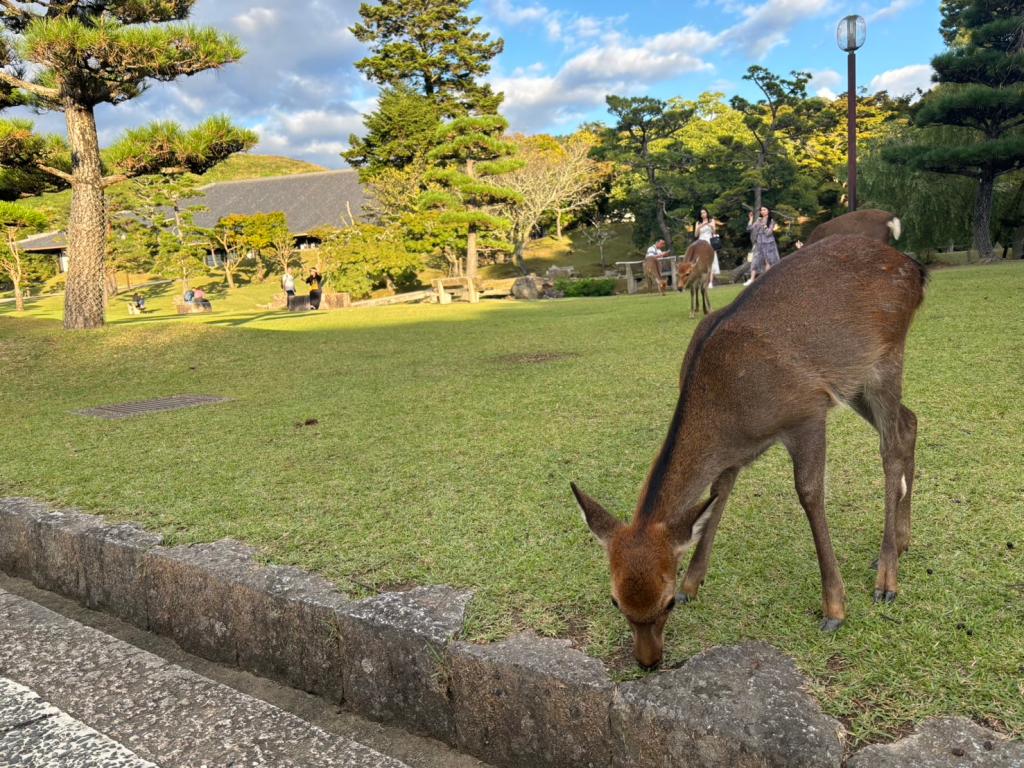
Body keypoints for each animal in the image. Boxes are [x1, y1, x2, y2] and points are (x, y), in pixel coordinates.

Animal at [573, 237, 933, 671]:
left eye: (667, 603)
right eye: (616, 602)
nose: (648, 661)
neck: (727, 408)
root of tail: (915, 268)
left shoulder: (807, 412)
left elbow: (809, 494)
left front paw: (834, 609)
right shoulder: (737, 452)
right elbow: (718, 494)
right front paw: (694, 582)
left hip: (886, 358)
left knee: (891, 444)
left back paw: (886, 579)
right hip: (855, 381)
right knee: (910, 423)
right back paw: (903, 541)